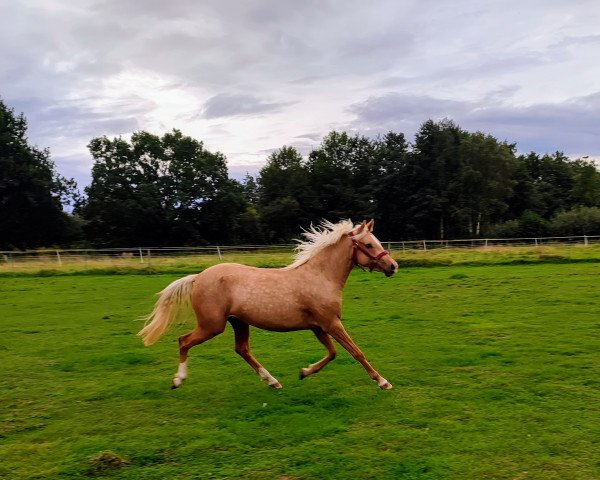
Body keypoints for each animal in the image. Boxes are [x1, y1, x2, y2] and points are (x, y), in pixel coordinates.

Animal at [137, 219, 398, 388]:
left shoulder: (319, 327)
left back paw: (272, 381)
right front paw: (383, 382)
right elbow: (356, 351)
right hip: (212, 325)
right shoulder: (331, 323)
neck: (320, 277)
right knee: (184, 341)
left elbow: (332, 353)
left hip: (238, 322)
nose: (393, 266)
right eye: (369, 245)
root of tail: (198, 277)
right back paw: (178, 380)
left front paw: (304, 372)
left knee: (242, 349)